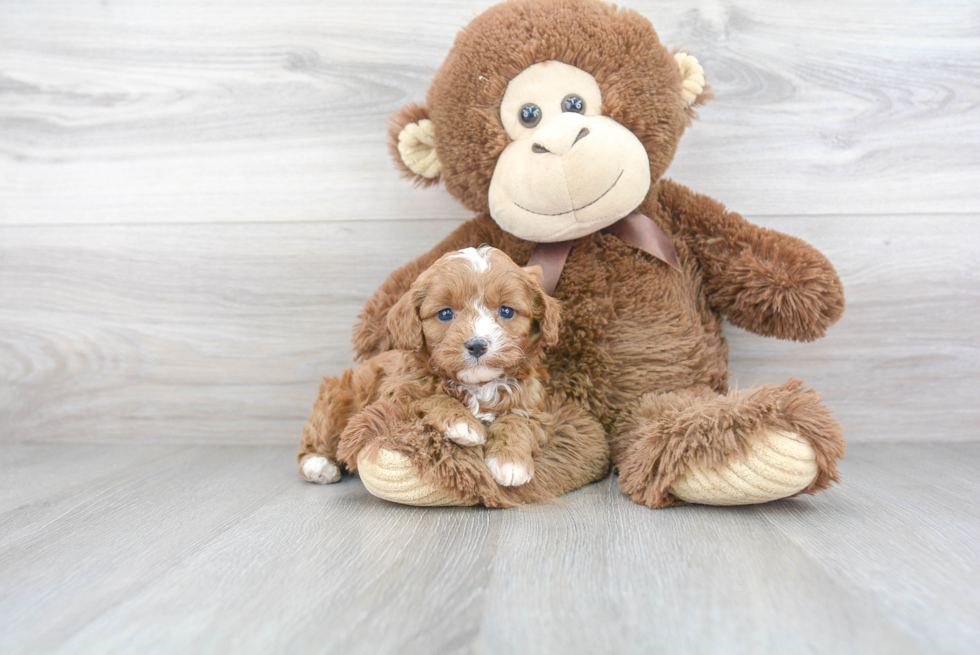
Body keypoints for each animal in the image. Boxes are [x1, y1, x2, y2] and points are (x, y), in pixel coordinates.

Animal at [296, 246, 560, 486]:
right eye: (445, 314)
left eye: (506, 311)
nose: (477, 345)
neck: (478, 385)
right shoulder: (396, 396)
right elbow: (432, 398)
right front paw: (463, 423)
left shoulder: (536, 410)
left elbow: (519, 421)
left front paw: (511, 461)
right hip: (338, 397)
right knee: (316, 435)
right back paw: (318, 464)